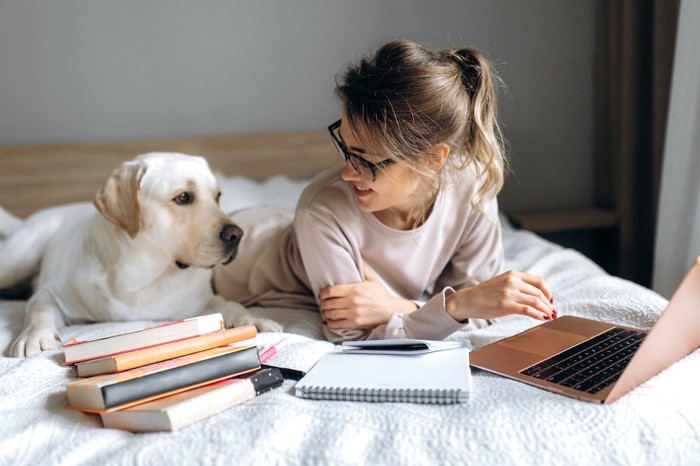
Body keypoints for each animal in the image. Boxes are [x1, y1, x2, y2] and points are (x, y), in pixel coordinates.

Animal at [2, 153, 284, 356]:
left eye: (218, 196)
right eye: (183, 197)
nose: (237, 234)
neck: (143, 275)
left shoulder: (202, 301)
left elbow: (229, 304)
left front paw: (253, 319)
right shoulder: (51, 293)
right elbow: (38, 308)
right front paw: (34, 336)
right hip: (18, 260)